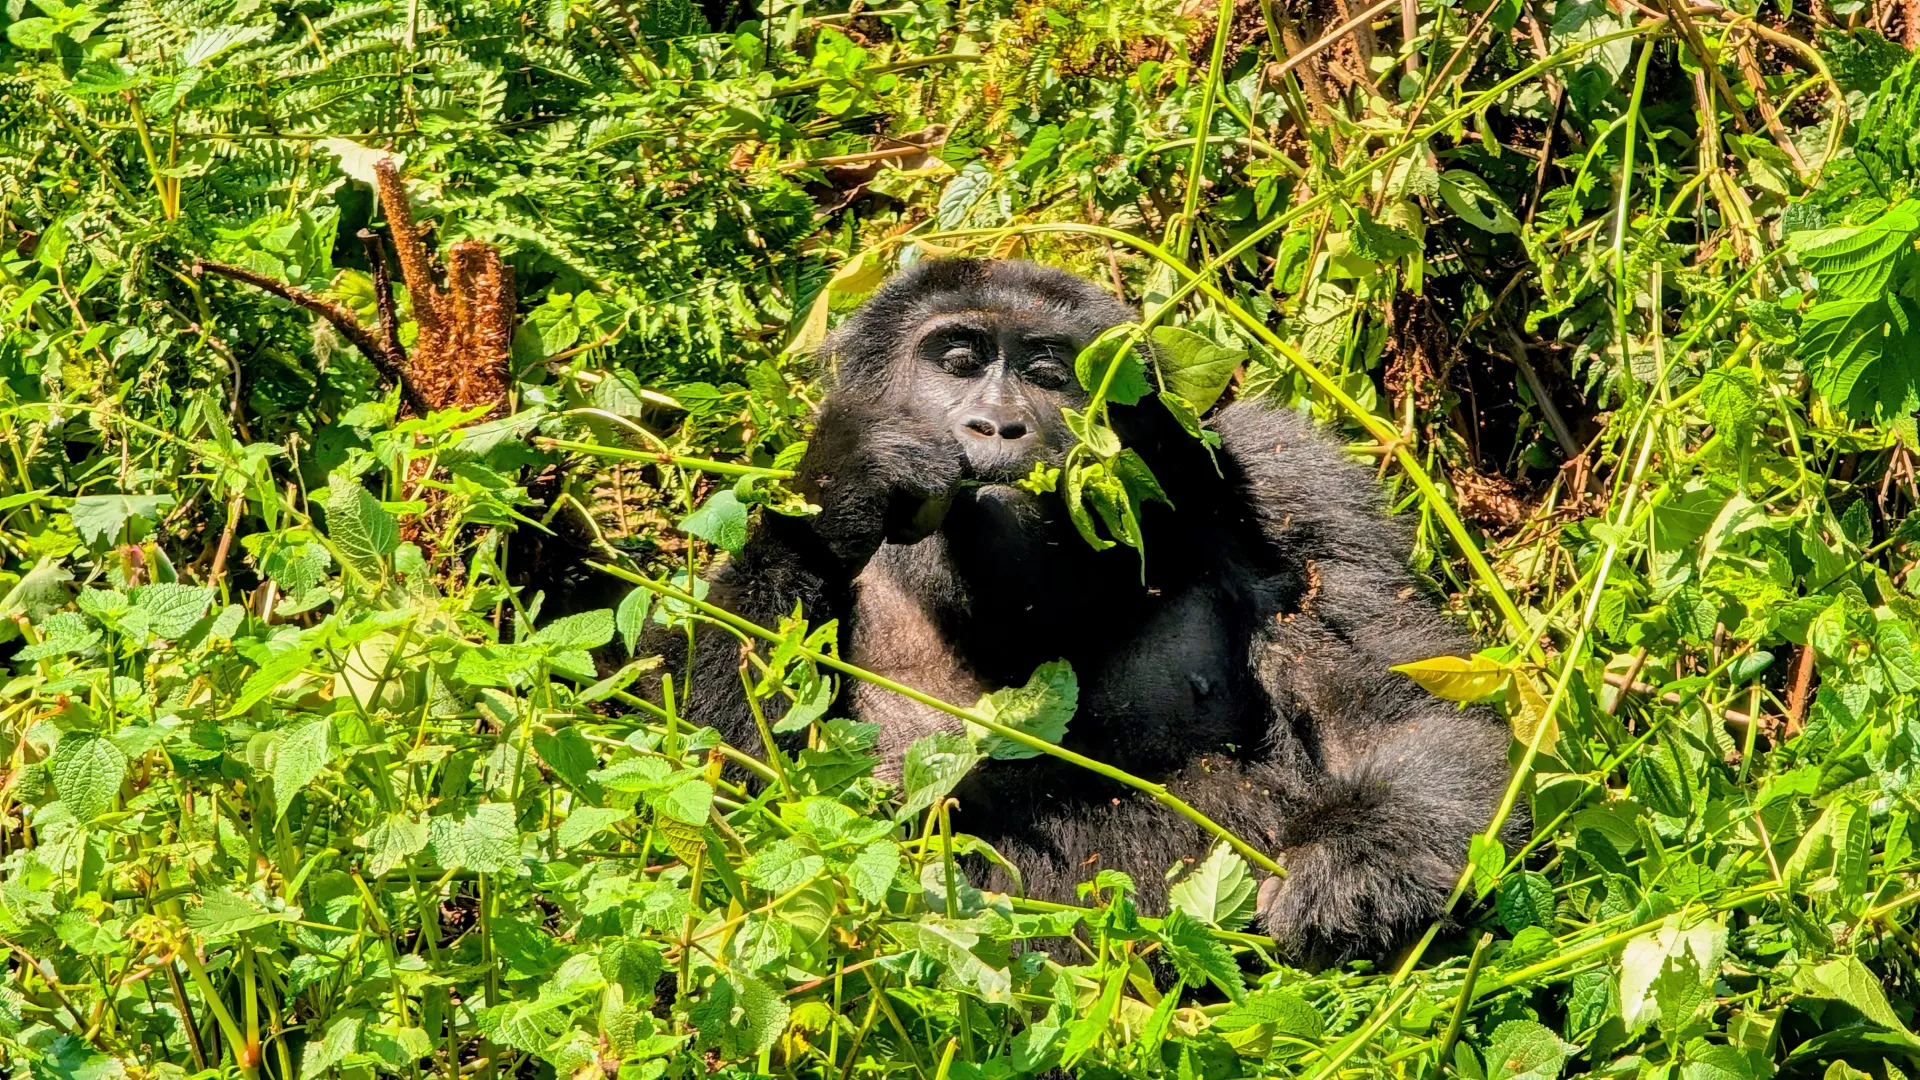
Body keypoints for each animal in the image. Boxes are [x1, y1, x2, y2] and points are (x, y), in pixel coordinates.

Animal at [658, 257, 1518, 962]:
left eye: (1048, 371)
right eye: (957, 362)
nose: (996, 424)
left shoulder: (1285, 475)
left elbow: (1404, 714)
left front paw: (1357, 865)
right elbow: (720, 808)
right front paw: (845, 478)